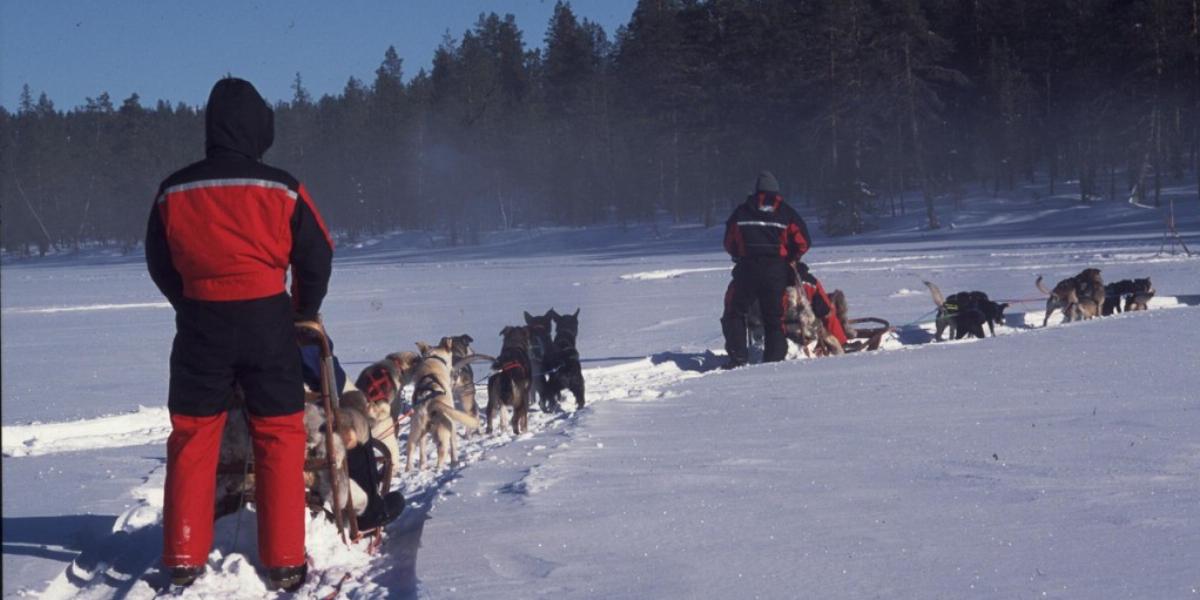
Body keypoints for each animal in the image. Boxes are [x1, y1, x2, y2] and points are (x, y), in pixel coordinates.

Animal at [408, 340, 482, 470]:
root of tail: (429, 403)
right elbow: (453, 447)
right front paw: (454, 461)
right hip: (444, 429)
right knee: (442, 452)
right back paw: (439, 468)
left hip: (416, 430)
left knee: (412, 449)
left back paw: (412, 468)